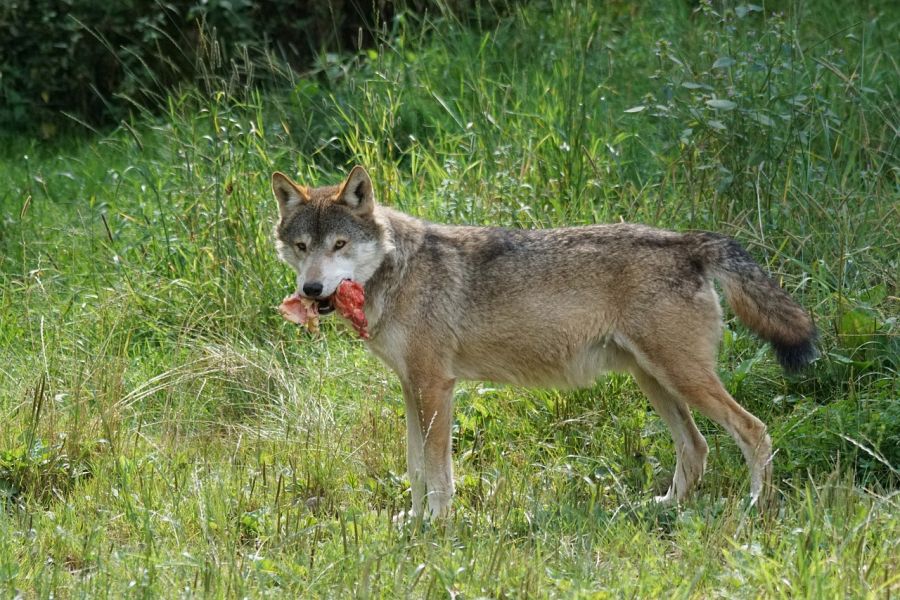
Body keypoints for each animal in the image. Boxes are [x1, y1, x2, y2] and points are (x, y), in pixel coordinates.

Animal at [268, 165, 816, 520]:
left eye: (339, 245)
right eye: (302, 247)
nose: (311, 290)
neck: (394, 273)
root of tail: (686, 241)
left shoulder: (435, 387)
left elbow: (438, 472)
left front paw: (437, 527)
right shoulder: (411, 389)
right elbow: (415, 467)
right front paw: (413, 522)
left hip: (682, 379)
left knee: (755, 430)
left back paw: (754, 508)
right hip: (654, 380)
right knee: (696, 447)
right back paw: (664, 508)